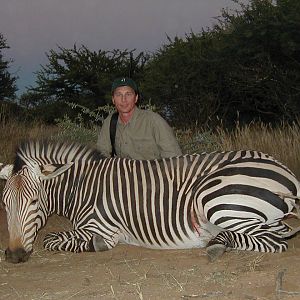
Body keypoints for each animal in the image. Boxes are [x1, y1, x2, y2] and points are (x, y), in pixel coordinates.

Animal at [0, 141, 300, 262]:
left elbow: (51, 239)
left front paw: (95, 245)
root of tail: (285, 170)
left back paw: (216, 243)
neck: (81, 187)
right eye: (4, 204)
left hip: (215, 199)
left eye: (34, 202)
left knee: (276, 242)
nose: (14, 256)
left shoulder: (101, 228)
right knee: (278, 233)